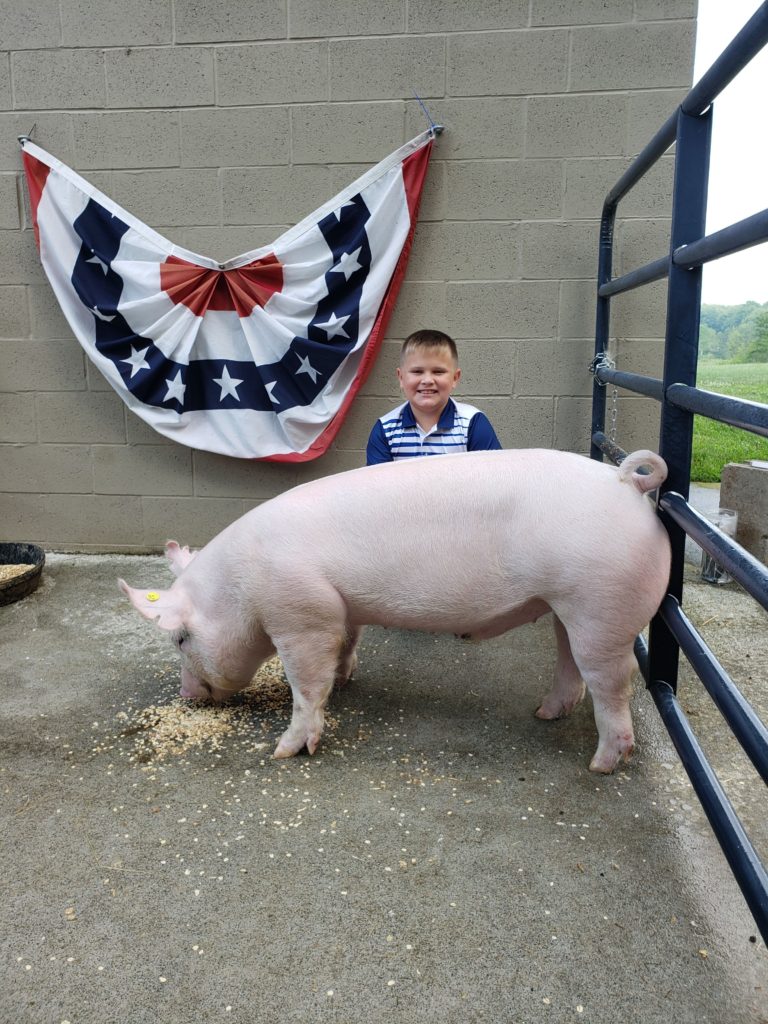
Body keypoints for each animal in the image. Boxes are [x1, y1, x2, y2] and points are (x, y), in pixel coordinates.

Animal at [119, 448, 671, 773]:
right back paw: (544, 713)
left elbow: (306, 685)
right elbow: (346, 646)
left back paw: (601, 764)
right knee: (568, 662)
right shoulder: (340, 608)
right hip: (566, 606)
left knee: (611, 681)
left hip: (601, 605)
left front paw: (284, 751)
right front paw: (345, 682)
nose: (187, 695)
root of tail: (626, 481)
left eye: (180, 638)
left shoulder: (301, 614)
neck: (240, 586)